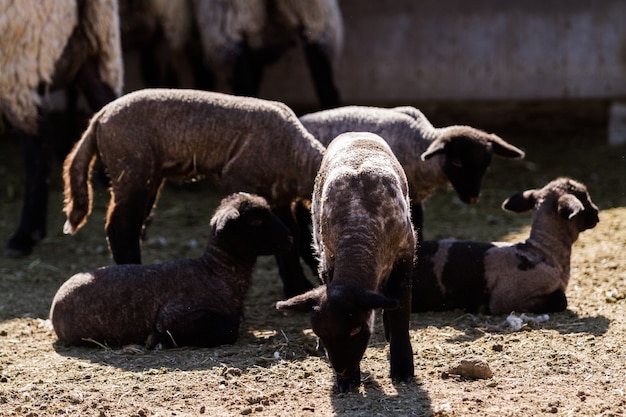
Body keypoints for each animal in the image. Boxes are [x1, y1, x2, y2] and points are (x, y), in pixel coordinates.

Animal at [62, 87, 326, 296]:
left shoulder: (280, 199)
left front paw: (298, 287)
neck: (295, 156)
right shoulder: (238, 177)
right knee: (121, 227)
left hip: (147, 176)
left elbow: (292, 237)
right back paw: (131, 271)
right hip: (131, 167)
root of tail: (98, 118)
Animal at [274, 132, 414, 392]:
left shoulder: (406, 254)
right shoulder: (328, 257)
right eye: (320, 332)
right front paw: (348, 382)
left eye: (356, 329)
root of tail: (356, 133)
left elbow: (401, 309)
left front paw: (402, 368)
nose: (342, 371)